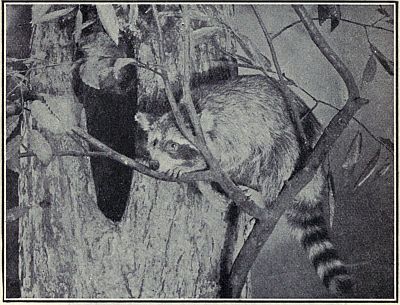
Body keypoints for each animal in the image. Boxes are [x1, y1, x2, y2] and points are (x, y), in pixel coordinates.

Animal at [136, 74, 352, 294]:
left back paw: (266, 196)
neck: (193, 108)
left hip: (298, 150)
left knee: (280, 153)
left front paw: (194, 167)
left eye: (173, 145)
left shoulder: (231, 129)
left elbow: (232, 156)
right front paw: (204, 185)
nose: (155, 163)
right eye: (154, 142)